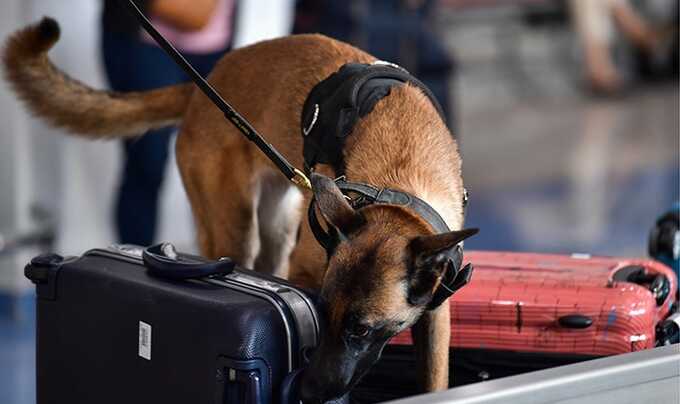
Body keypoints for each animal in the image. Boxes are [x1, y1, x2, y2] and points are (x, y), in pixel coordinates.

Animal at [2, 17, 476, 402]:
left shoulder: (436, 318)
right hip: (235, 229)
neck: (399, 177)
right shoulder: (306, 272)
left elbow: (435, 379)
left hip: (276, 231)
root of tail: (205, 83)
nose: (309, 391)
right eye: (322, 313)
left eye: (362, 329)